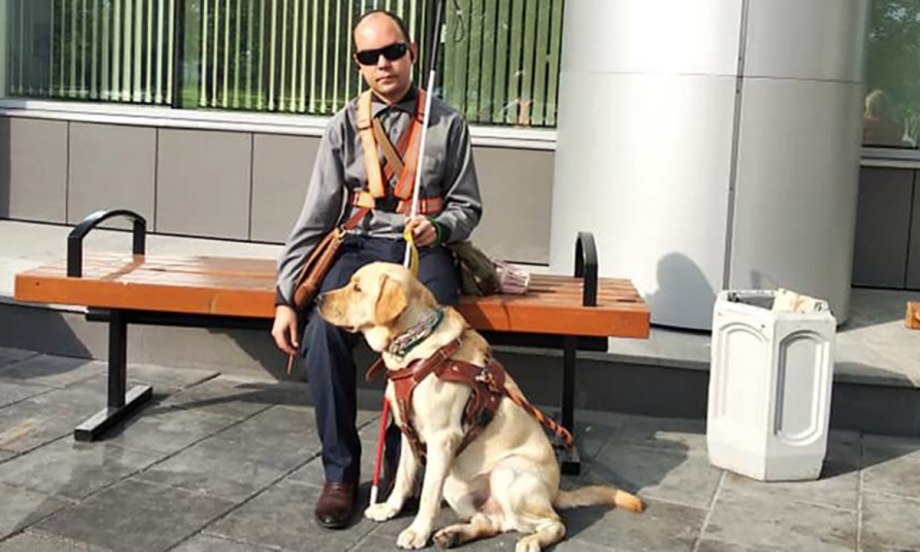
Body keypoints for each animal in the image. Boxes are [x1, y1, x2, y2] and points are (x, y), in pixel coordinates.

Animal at [318, 262, 643, 551]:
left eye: (357, 287)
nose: (320, 298)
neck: (414, 349)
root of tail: (555, 492)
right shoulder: (410, 434)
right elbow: (403, 479)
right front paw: (388, 509)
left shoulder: (442, 439)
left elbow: (427, 496)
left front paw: (417, 532)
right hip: (457, 486)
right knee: (494, 522)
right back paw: (453, 535)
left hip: (506, 474)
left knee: (554, 523)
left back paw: (531, 541)